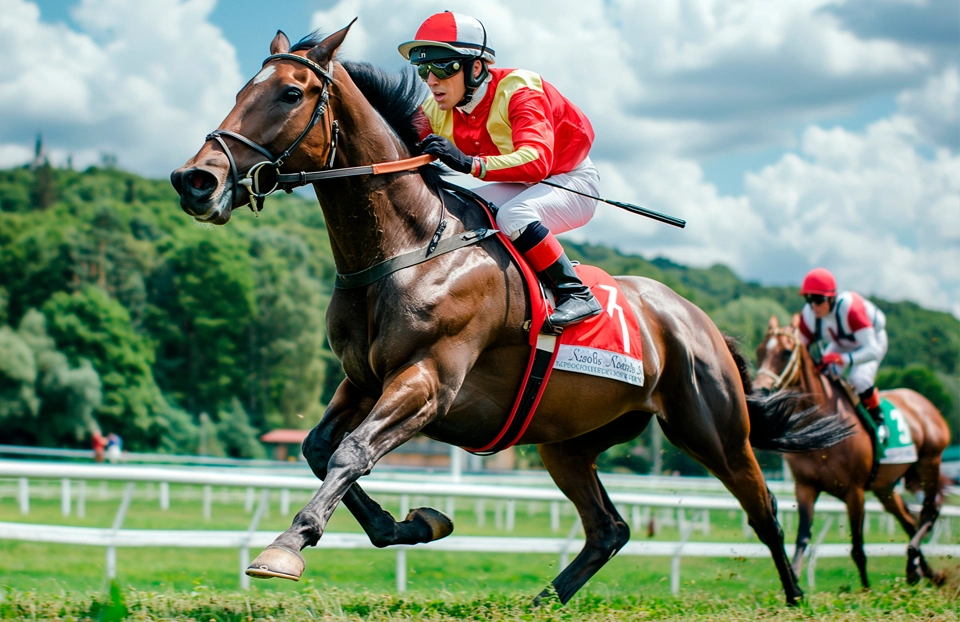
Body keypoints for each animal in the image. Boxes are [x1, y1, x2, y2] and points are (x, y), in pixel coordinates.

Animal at [171, 23, 848, 604]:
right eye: (240, 91)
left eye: (290, 92)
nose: (195, 180)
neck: (409, 248)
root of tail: (693, 318)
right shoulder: (362, 380)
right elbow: (318, 448)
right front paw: (417, 522)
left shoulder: (429, 380)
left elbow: (350, 452)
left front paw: (286, 546)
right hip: (568, 441)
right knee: (609, 528)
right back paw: (543, 600)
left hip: (712, 427)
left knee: (764, 510)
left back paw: (795, 598)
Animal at [756, 316, 952, 588]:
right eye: (759, 351)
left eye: (785, 352)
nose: (759, 390)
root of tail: (926, 405)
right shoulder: (805, 486)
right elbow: (802, 537)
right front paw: (793, 578)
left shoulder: (854, 491)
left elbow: (858, 547)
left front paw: (867, 590)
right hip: (884, 486)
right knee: (908, 520)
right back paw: (922, 571)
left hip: (928, 463)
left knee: (929, 512)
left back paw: (917, 565)